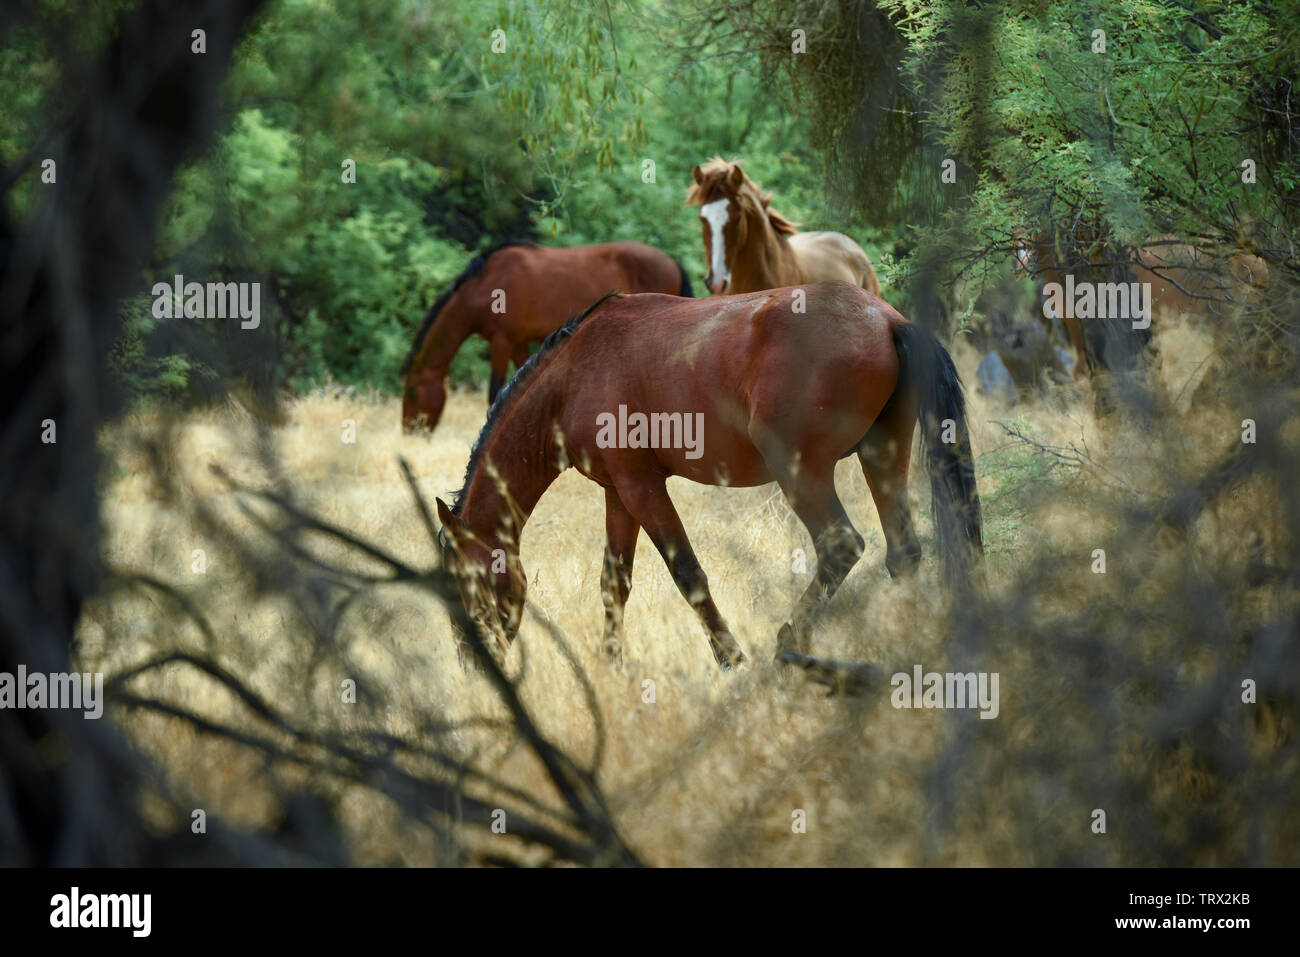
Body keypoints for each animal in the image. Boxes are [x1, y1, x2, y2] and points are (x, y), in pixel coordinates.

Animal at [403, 239, 691, 434]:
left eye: (413, 394)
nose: (409, 431)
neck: (482, 289)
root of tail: (673, 262)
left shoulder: (502, 341)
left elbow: (495, 391)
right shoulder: (518, 343)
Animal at [431, 283, 977, 670]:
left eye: (468, 585)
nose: (473, 663)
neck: (572, 376)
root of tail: (888, 320)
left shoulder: (643, 487)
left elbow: (687, 572)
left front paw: (731, 659)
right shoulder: (618, 494)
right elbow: (614, 582)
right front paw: (612, 666)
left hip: (803, 474)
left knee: (841, 545)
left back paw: (787, 645)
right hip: (882, 458)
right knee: (903, 551)